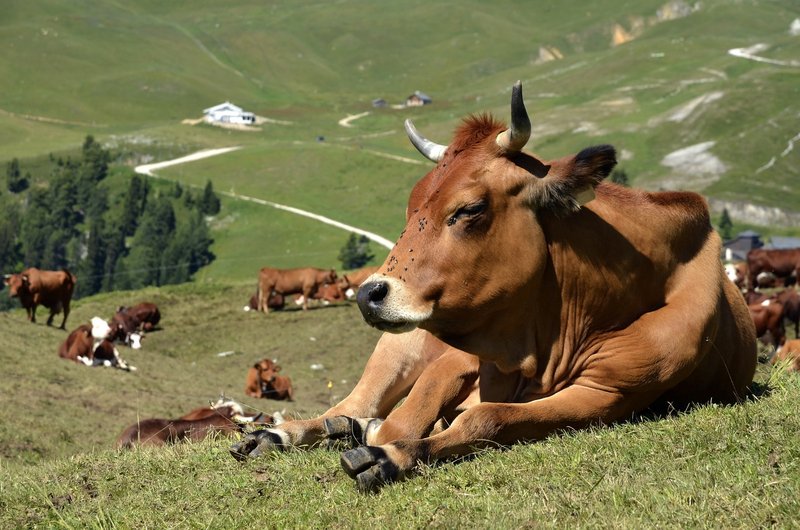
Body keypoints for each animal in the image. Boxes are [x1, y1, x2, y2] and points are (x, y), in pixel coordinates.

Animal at [230, 79, 756, 490]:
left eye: (470, 209)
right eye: (411, 206)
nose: (368, 293)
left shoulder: (608, 394)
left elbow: (486, 416)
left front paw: (390, 455)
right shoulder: (460, 359)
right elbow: (410, 411)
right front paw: (384, 436)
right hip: (397, 348)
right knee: (351, 403)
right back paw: (281, 433)